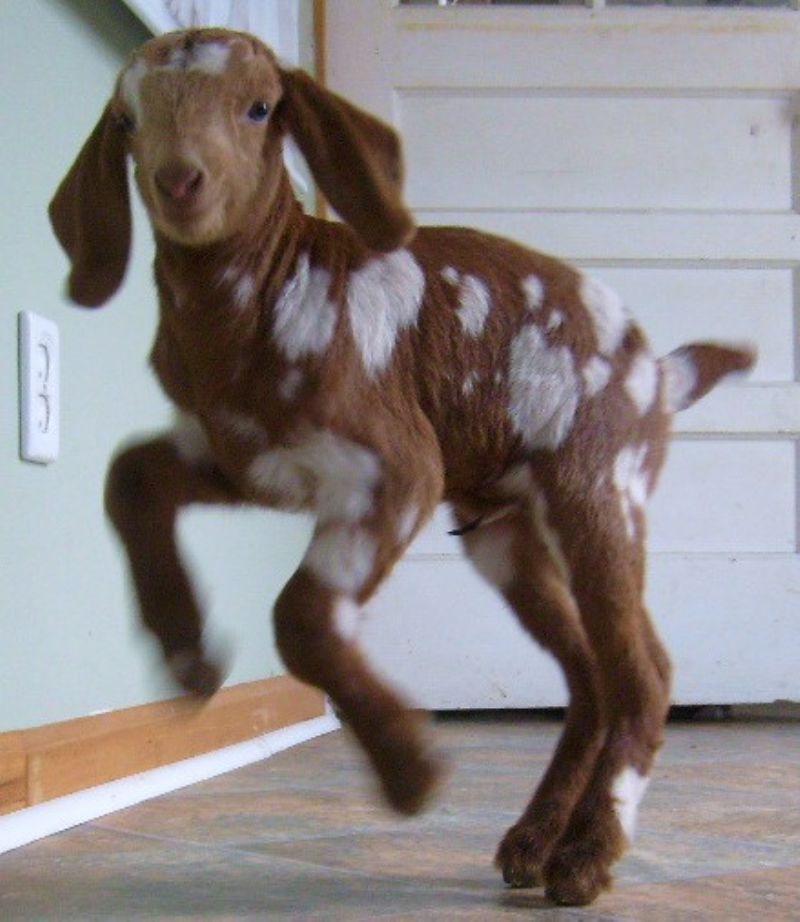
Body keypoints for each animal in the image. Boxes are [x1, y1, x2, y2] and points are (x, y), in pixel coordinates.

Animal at [49, 28, 755, 906]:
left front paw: (409, 770)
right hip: (504, 535)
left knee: (644, 672)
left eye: (259, 108)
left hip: (597, 492)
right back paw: (534, 843)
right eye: (127, 119)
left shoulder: (395, 469)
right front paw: (188, 651)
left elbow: (302, 617)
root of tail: (660, 373)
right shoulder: (246, 457)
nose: (179, 181)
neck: (264, 295)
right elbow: (129, 475)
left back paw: (588, 855)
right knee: (590, 675)